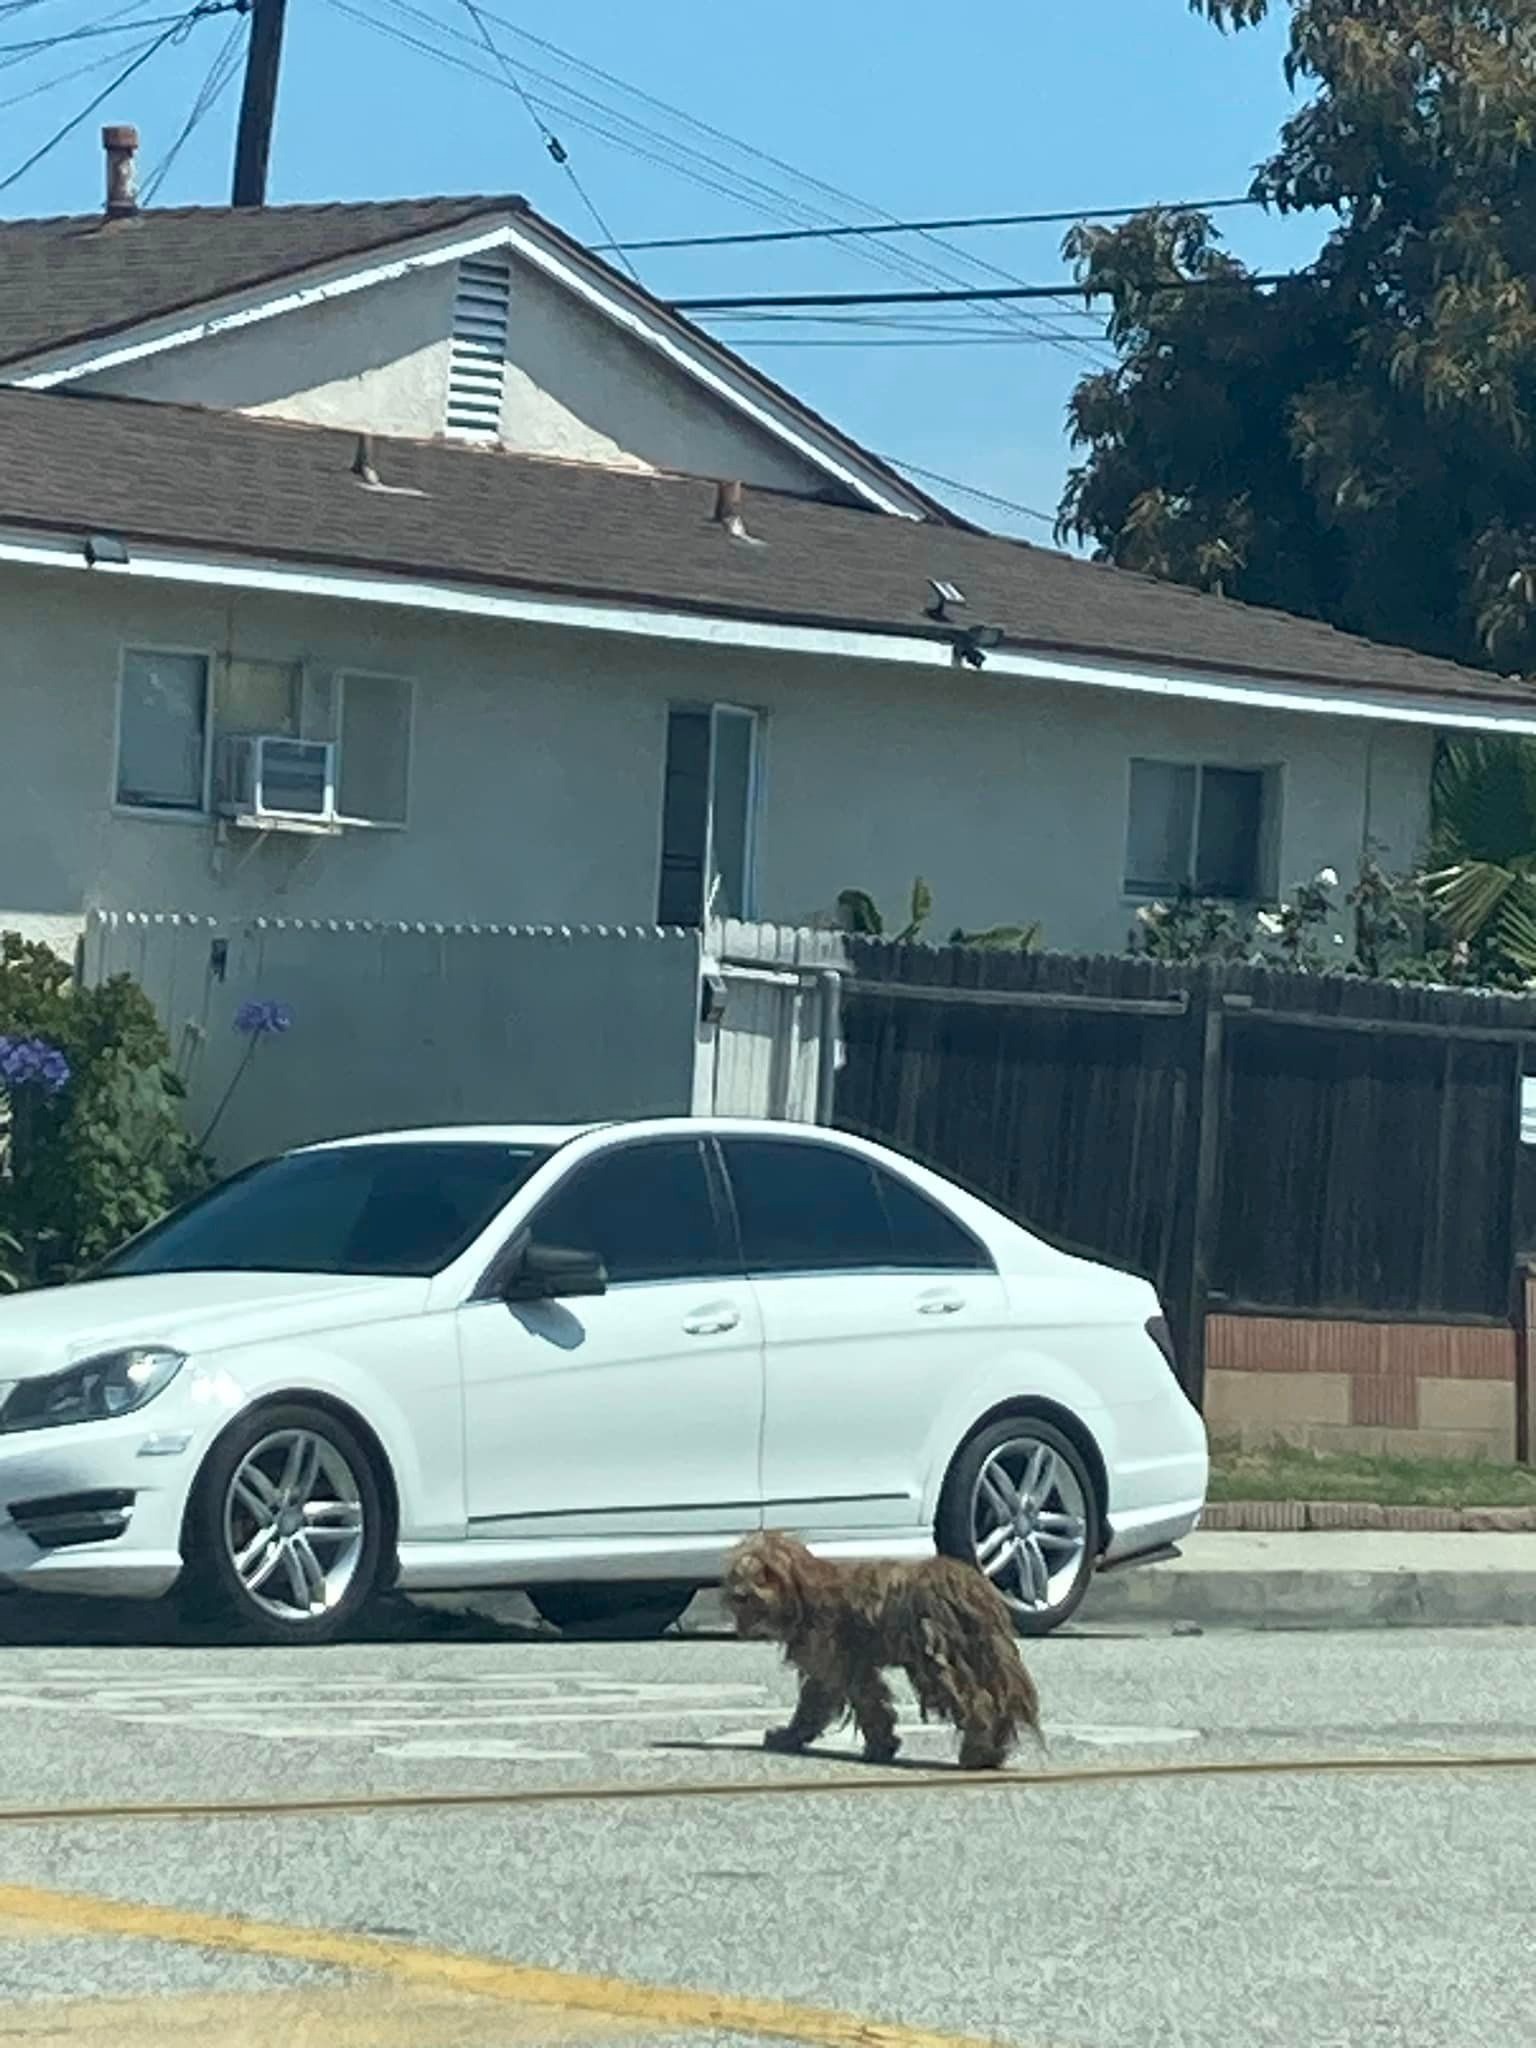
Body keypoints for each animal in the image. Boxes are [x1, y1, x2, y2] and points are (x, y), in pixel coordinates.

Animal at [724, 1531, 1048, 1769]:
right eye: (738, 1573)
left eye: (766, 1572)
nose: (740, 1594)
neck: (803, 1593)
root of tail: (970, 1584)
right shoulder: (855, 1667)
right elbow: (869, 1703)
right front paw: (881, 1745)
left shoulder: (831, 1663)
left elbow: (819, 1702)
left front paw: (788, 1736)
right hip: (975, 1656)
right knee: (997, 1700)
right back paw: (994, 1750)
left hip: (939, 1659)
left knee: (977, 1702)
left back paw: (977, 1752)